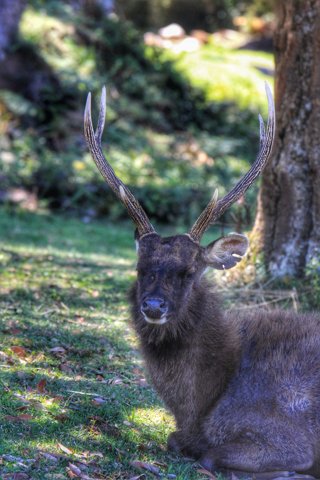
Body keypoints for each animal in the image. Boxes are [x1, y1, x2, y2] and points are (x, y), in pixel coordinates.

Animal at [83, 84, 320, 478]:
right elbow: (175, 440)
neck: (202, 403)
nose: (153, 306)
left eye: (190, 271)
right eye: (140, 267)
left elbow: (210, 454)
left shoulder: (286, 435)